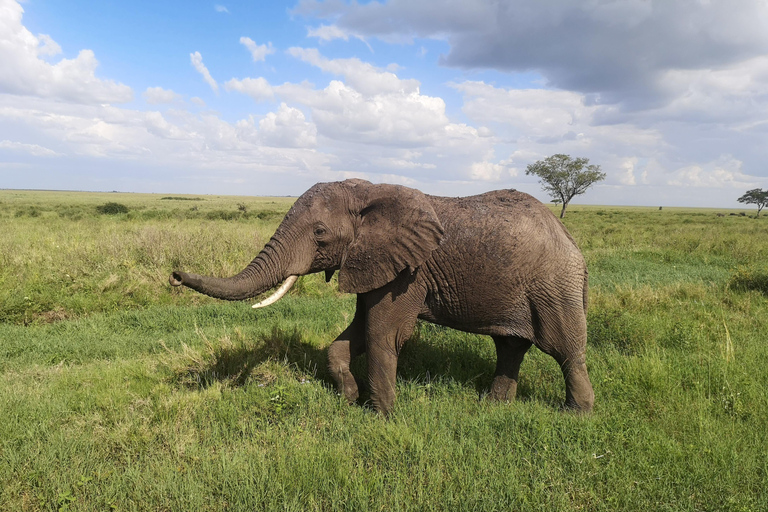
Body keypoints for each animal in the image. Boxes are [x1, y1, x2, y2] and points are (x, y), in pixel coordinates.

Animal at [171, 178, 596, 414]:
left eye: (320, 233)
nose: (174, 275)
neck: (370, 192)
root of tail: (569, 237)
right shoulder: (373, 263)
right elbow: (353, 335)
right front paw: (348, 399)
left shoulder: (406, 273)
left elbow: (382, 335)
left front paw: (381, 418)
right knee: (510, 346)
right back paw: (493, 407)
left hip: (553, 285)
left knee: (564, 349)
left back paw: (576, 415)